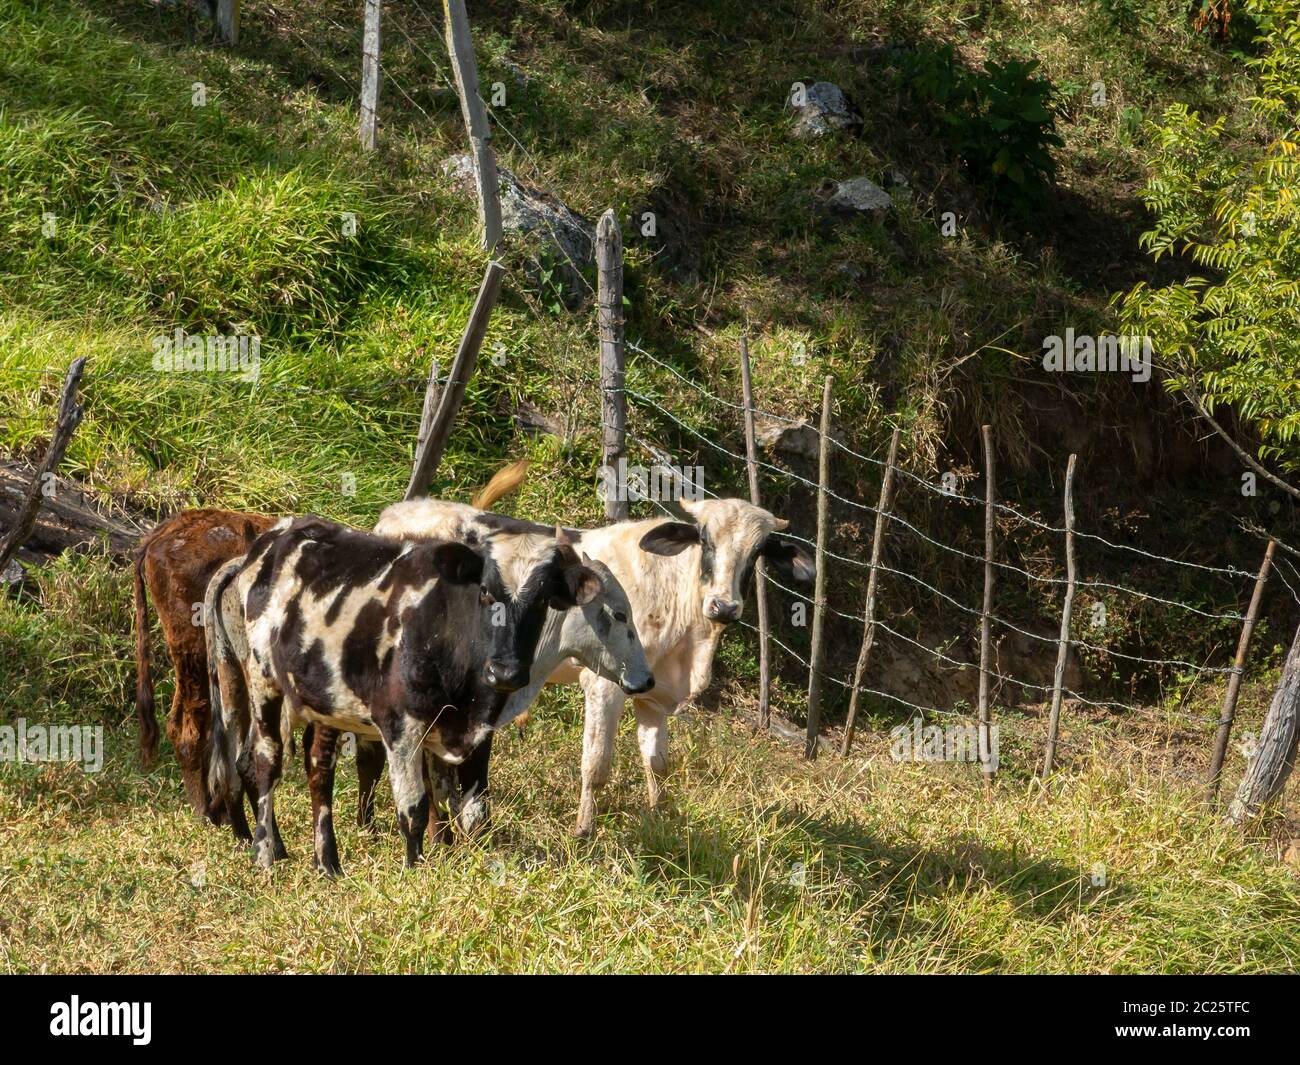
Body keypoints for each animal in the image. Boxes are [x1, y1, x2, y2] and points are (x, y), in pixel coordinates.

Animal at [204, 515, 640, 871]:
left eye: (544, 599)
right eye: (485, 591)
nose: (506, 671)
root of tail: (263, 545)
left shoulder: (474, 732)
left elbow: (471, 809)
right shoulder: (400, 728)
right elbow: (414, 807)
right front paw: (416, 867)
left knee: (313, 768)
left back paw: (325, 862)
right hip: (262, 681)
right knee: (265, 759)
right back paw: (266, 851)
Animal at [374, 476, 816, 837]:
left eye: (757, 553)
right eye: (705, 540)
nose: (724, 607)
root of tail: (396, 514)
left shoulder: (652, 692)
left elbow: (656, 762)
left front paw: (660, 820)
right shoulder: (605, 685)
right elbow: (596, 764)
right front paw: (583, 832)